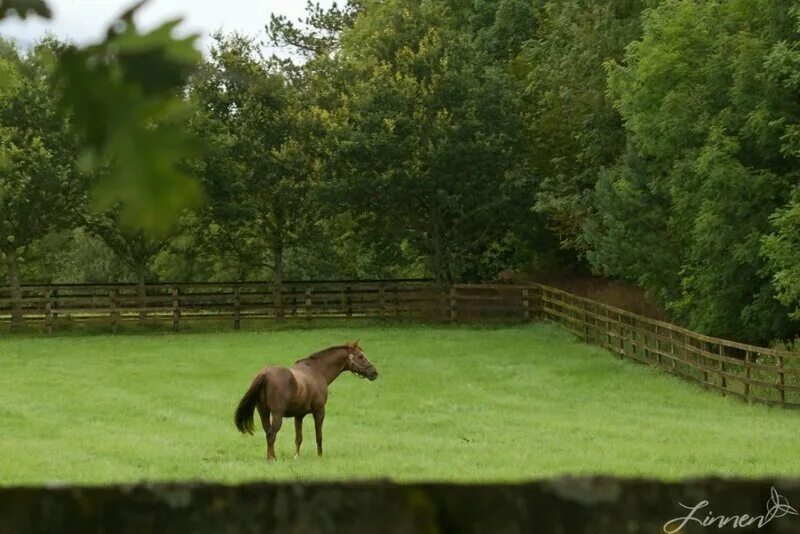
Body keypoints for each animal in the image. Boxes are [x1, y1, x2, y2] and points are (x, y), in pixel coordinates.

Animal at [233, 344, 380, 460]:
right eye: (360, 356)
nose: (374, 372)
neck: (316, 371)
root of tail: (265, 374)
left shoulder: (299, 415)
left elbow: (298, 438)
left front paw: (296, 456)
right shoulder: (319, 411)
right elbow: (318, 435)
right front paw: (320, 456)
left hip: (263, 412)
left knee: (268, 433)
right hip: (277, 414)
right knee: (271, 434)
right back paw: (272, 459)